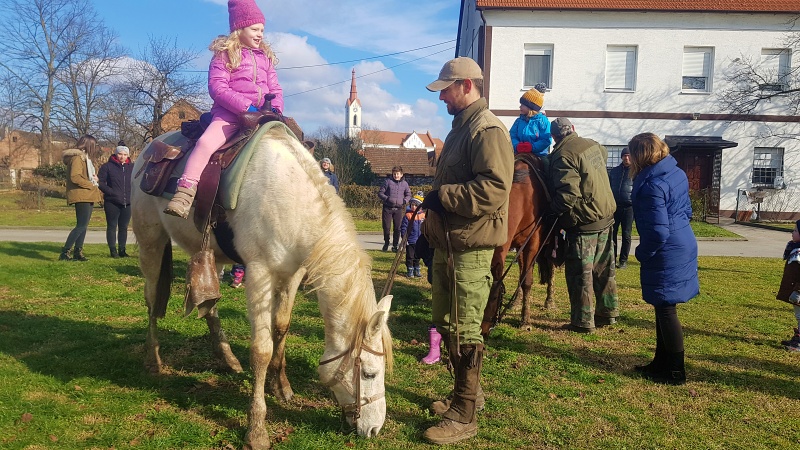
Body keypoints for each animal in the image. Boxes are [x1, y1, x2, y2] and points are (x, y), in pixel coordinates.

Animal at [131, 127, 394, 450]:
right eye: (369, 373)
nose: (375, 429)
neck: (291, 201)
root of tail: (149, 150)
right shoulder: (259, 274)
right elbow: (262, 349)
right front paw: (256, 429)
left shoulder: (293, 274)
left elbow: (282, 326)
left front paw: (281, 387)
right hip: (151, 242)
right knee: (152, 300)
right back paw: (153, 360)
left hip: (205, 253)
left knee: (209, 304)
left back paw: (227, 358)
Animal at [482, 155, 556, 334]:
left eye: (493, 297)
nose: (483, 330)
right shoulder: (516, 245)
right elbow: (522, 276)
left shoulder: (532, 244)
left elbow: (527, 280)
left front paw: (525, 321)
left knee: (550, 269)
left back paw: (549, 301)